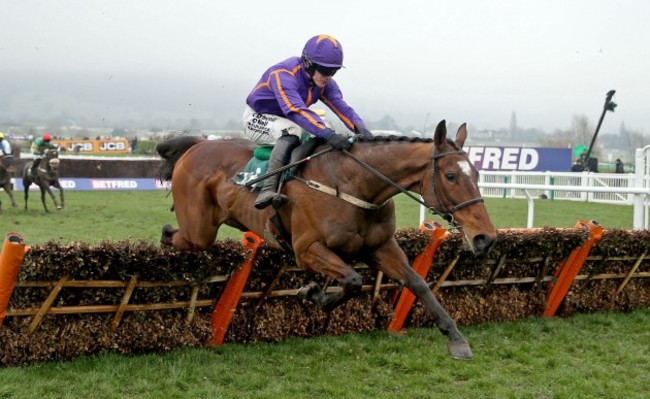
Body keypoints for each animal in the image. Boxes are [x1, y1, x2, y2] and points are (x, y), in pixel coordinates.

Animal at [158, 120, 496, 360]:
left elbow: (418, 283)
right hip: (199, 231)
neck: (354, 184)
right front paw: (313, 293)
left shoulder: (380, 247)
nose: (485, 238)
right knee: (170, 234)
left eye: (477, 174)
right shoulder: (306, 250)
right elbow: (353, 281)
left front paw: (457, 340)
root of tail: (199, 144)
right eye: (451, 176)